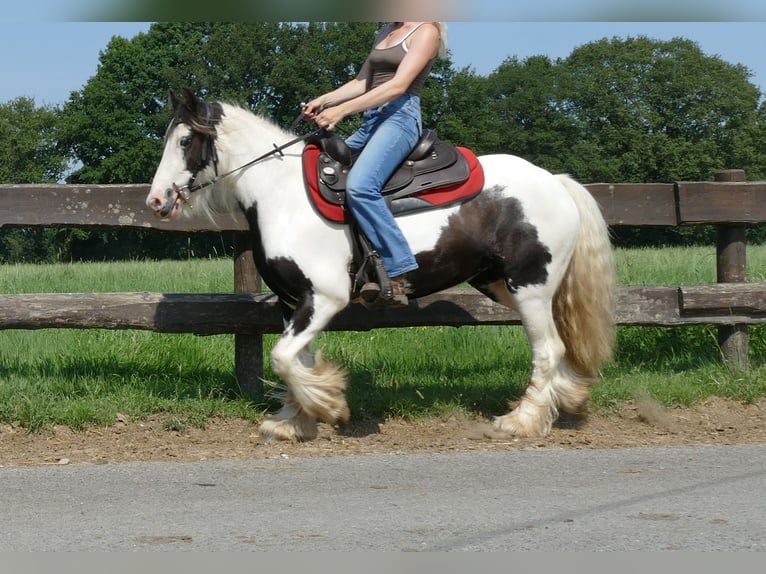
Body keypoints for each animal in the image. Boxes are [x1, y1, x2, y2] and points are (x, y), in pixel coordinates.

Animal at [147, 89, 620, 446]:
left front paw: (330, 406)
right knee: (558, 344)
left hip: (530, 286)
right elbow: (296, 359)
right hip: (501, 285)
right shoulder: (293, 302)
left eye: (185, 141)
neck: (282, 195)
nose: (156, 201)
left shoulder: (325, 298)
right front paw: (296, 421)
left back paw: (521, 421)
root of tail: (555, 181)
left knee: (548, 349)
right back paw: (566, 399)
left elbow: (283, 357)